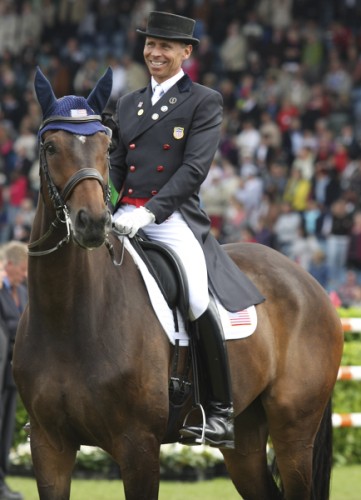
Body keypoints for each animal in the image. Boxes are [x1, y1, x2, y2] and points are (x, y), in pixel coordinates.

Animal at [12, 71, 342, 500]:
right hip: (246, 438)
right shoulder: (48, 446)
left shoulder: (138, 445)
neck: (68, 313)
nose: (93, 223)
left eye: (104, 144)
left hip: (294, 433)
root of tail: (309, 282)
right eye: (51, 146)